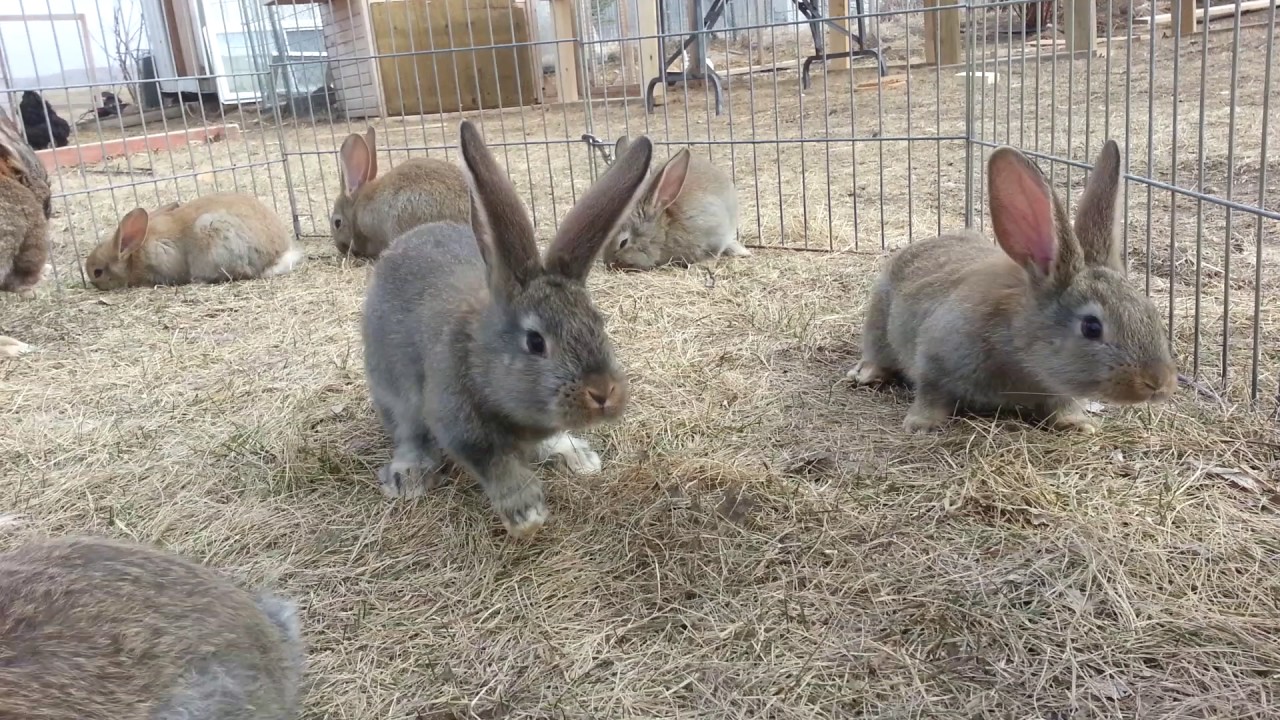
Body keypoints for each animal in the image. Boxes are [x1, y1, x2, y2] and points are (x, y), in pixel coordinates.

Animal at [362, 121, 653, 537]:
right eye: (535, 342)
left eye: (598, 321)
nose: (603, 393)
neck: (480, 354)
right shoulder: (459, 422)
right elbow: (494, 463)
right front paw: (526, 513)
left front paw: (574, 456)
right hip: (390, 389)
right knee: (407, 432)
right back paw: (409, 476)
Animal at [847, 139, 1178, 434]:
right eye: (1091, 327)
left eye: (1152, 312)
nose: (1158, 382)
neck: (1018, 347)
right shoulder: (934, 359)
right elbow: (931, 394)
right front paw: (920, 424)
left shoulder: (1056, 390)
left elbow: (1063, 406)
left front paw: (1079, 424)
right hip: (878, 322)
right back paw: (866, 374)